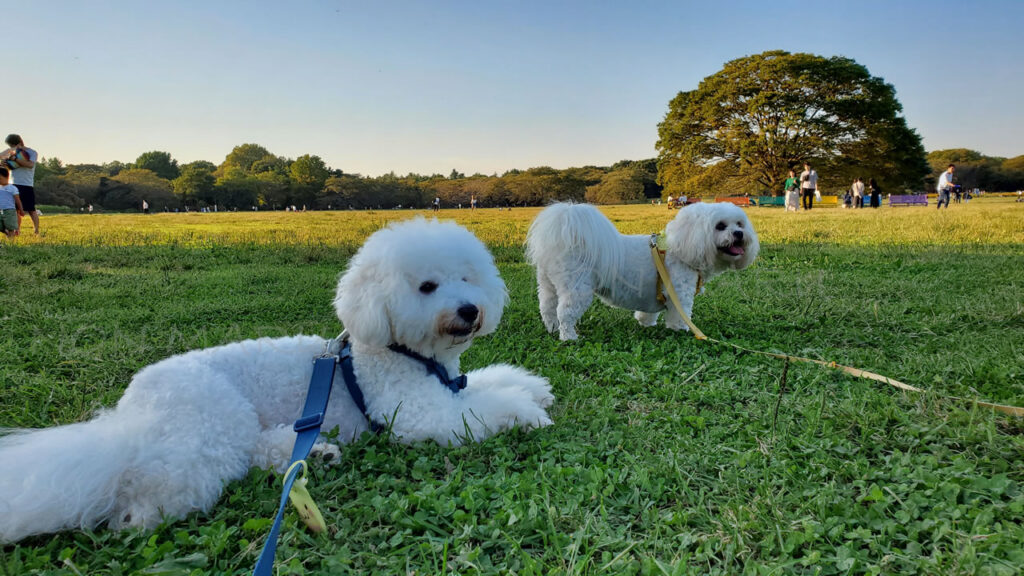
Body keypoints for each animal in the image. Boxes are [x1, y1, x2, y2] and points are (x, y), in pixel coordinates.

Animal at [0, 217, 552, 541]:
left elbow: (485, 383)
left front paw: (530, 386)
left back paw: (318, 453)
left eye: (467, 278)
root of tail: (126, 416)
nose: (470, 310)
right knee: (171, 484)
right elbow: (483, 408)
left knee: (260, 451)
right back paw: (137, 515)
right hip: (211, 421)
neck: (402, 351)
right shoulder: (420, 413)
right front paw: (527, 412)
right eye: (427, 286)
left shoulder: (449, 384)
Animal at [528, 201, 761, 338]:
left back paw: (552, 329)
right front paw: (681, 329)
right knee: (565, 313)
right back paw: (569, 337)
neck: (681, 247)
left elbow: (648, 311)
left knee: (547, 308)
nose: (739, 234)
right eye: (720, 226)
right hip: (577, 288)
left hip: (548, 284)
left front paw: (645, 323)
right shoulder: (680, 294)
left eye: (740, 224)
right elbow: (680, 315)